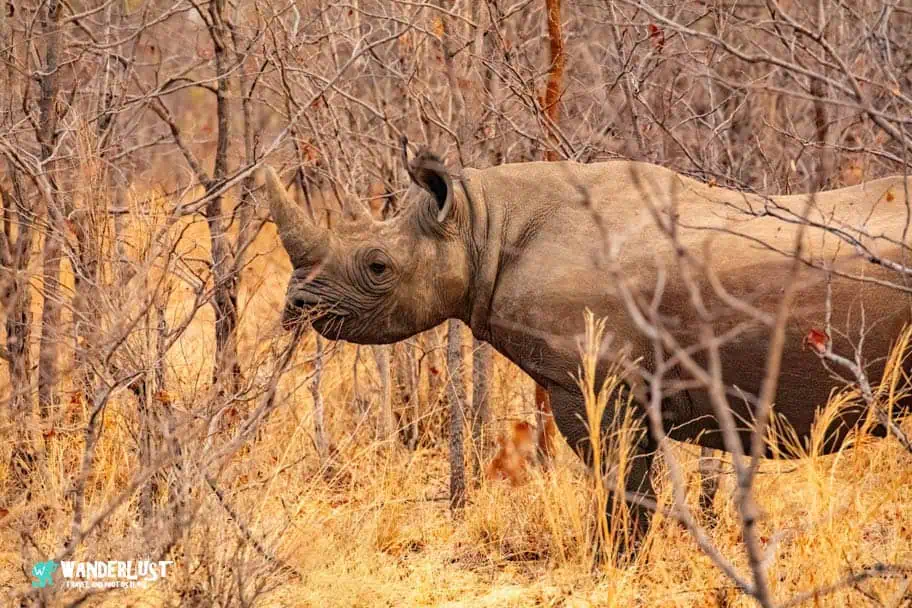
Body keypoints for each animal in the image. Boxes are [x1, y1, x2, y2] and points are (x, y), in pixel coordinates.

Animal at [260, 147, 912, 536]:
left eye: (377, 266)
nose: (297, 305)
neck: (481, 223)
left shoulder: (596, 381)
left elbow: (619, 481)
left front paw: (612, 561)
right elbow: (633, 482)